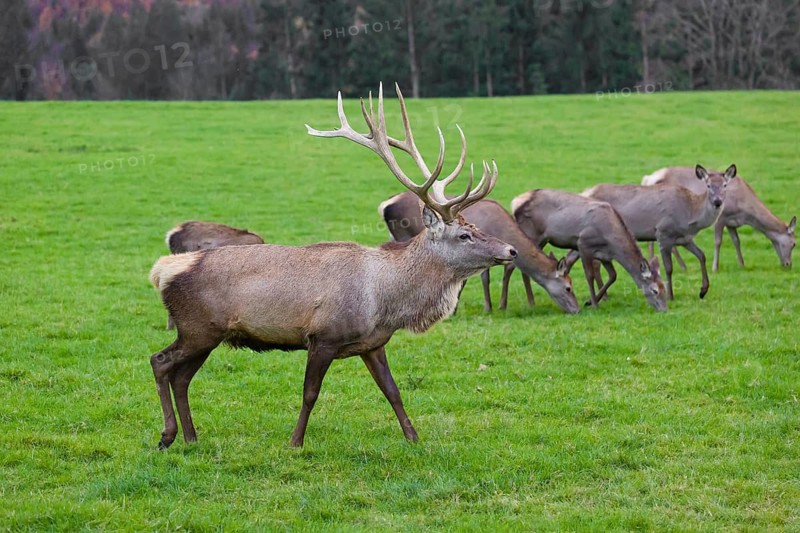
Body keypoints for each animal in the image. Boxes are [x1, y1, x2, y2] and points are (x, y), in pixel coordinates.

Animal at [147, 83, 517, 450]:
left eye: (475, 228)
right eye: (464, 235)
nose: (510, 250)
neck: (386, 302)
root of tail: (161, 271)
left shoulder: (373, 343)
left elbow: (392, 391)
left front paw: (413, 438)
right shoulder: (323, 336)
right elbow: (310, 394)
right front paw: (295, 442)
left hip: (207, 334)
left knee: (181, 377)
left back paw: (191, 438)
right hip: (197, 327)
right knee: (160, 362)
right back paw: (168, 435)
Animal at [379, 191, 579, 313]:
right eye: (568, 287)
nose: (577, 309)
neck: (500, 227)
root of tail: (385, 205)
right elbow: (484, 278)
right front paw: (489, 307)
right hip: (402, 233)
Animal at [511, 189, 668, 312]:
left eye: (664, 288)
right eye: (655, 290)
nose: (665, 310)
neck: (610, 239)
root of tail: (515, 202)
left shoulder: (605, 255)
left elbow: (613, 275)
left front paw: (590, 301)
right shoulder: (583, 243)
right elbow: (590, 275)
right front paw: (594, 305)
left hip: (541, 238)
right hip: (531, 233)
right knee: (513, 265)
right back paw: (528, 302)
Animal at [583, 164, 737, 300]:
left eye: (725, 185)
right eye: (708, 185)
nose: (717, 201)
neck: (690, 216)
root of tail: (585, 192)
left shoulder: (685, 239)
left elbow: (702, 255)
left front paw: (703, 290)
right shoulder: (663, 232)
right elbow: (668, 267)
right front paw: (670, 296)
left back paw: (602, 296)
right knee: (595, 264)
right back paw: (601, 297)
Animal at [642, 166, 795, 270]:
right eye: (794, 244)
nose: (788, 264)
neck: (744, 211)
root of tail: (648, 179)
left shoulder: (732, 222)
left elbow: (736, 241)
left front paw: (742, 264)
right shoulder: (721, 217)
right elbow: (718, 241)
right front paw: (715, 267)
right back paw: (680, 266)